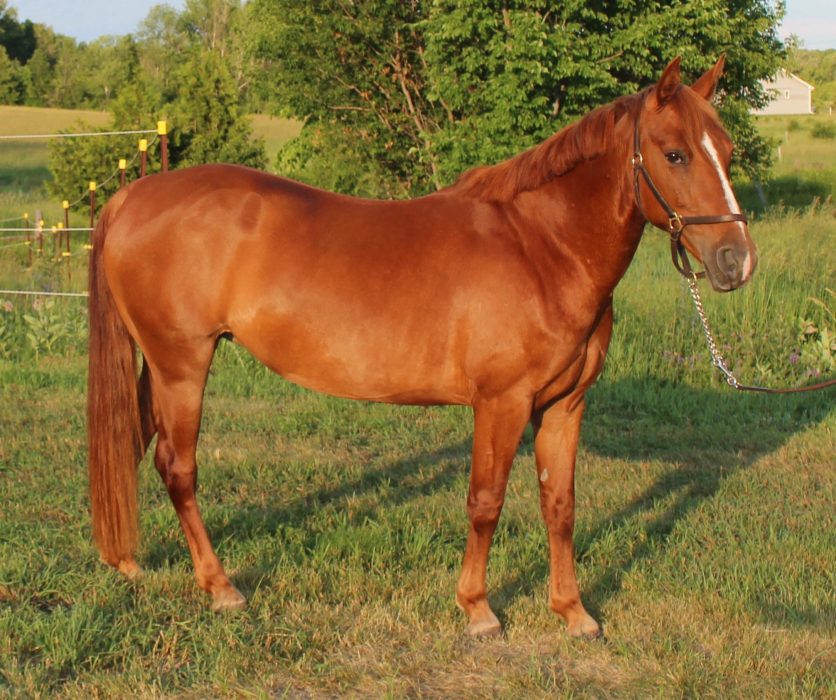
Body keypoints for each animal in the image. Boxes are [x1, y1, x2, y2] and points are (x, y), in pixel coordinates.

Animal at [88, 56, 756, 639]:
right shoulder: (502, 404)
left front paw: (573, 613)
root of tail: (131, 198)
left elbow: (560, 505)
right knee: (177, 467)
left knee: (133, 443)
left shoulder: (565, 405)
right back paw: (220, 586)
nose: (736, 261)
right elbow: (485, 502)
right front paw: (478, 610)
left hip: (158, 366)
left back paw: (127, 561)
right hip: (182, 366)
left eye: (727, 153)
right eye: (674, 154)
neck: (542, 247)